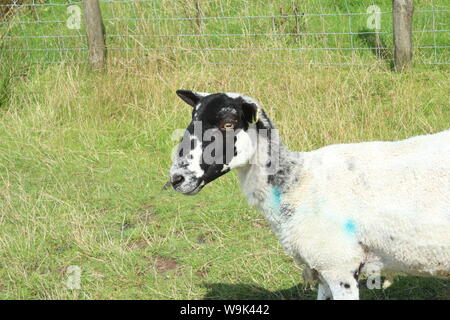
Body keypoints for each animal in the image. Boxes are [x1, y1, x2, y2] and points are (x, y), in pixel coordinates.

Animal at [169, 90, 450, 300]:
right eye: (192, 121)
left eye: (228, 124)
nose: (176, 179)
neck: (297, 183)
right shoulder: (321, 269)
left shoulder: (339, 266)